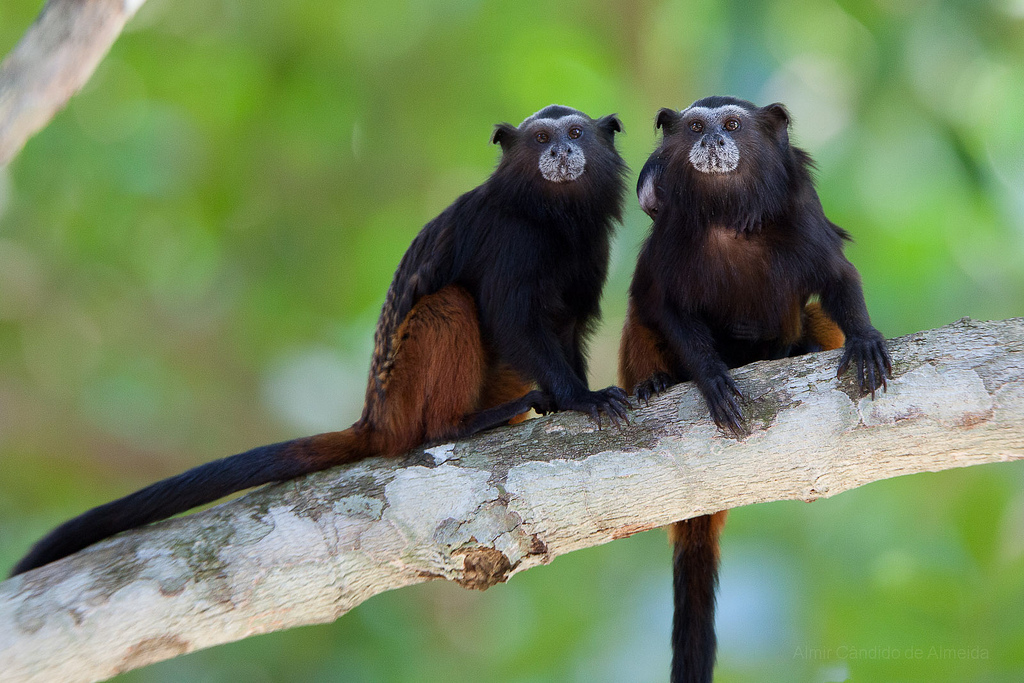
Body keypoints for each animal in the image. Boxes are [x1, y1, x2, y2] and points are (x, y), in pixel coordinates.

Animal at [614, 94, 888, 683]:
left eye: (734, 125)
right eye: (696, 126)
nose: (713, 141)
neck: (728, 219)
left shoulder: (802, 211)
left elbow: (837, 278)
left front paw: (863, 337)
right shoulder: (670, 235)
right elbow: (664, 305)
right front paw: (713, 380)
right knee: (640, 314)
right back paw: (654, 382)